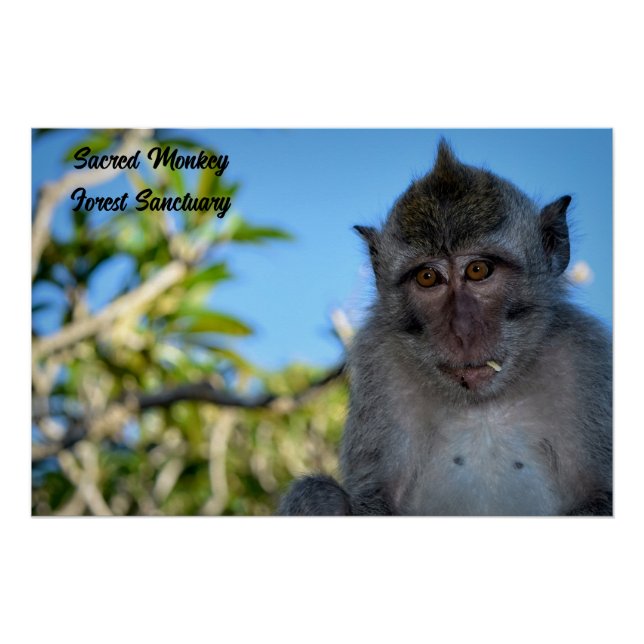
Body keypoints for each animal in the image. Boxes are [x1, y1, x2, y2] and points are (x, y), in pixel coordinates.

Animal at [279, 140, 612, 516]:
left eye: (479, 270)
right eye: (428, 277)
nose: (463, 332)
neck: (483, 404)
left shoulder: (583, 357)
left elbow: (601, 496)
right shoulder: (379, 362)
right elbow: (373, 497)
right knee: (316, 492)